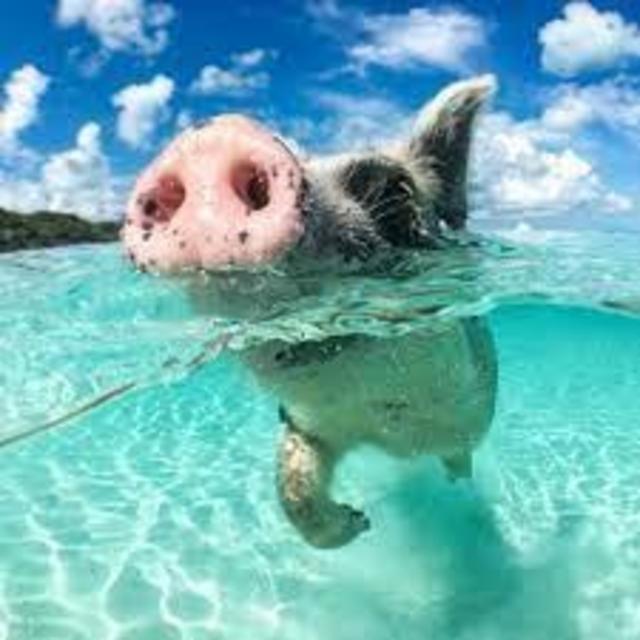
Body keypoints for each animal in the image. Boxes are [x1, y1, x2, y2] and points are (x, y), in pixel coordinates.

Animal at [122, 75, 498, 549]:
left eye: (395, 191)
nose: (210, 139)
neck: (386, 425)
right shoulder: (308, 425)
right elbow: (292, 486)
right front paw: (360, 522)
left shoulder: (464, 417)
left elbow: (459, 457)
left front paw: (459, 499)